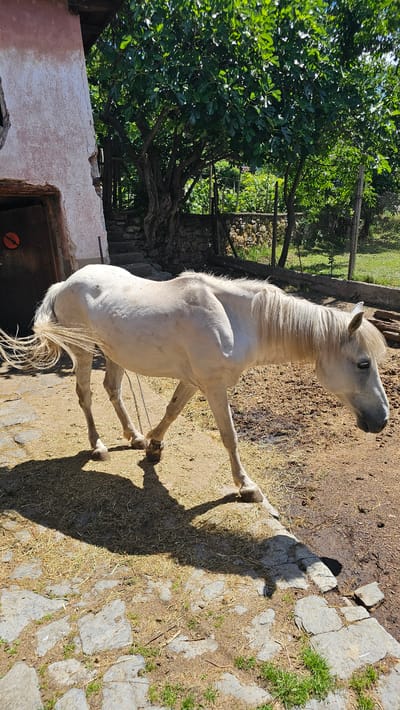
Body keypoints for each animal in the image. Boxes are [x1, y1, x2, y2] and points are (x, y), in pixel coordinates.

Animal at [0, 264, 389, 505]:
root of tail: (64, 283)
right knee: (86, 394)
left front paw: (152, 445)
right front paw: (246, 486)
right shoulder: (214, 387)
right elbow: (229, 436)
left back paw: (133, 436)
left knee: (113, 389)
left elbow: (172, 411)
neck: (234, 320)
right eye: (363, 363)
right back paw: (98, 446)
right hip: (82, 352)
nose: (382, 419)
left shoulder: (192, 381)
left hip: (114, 353)